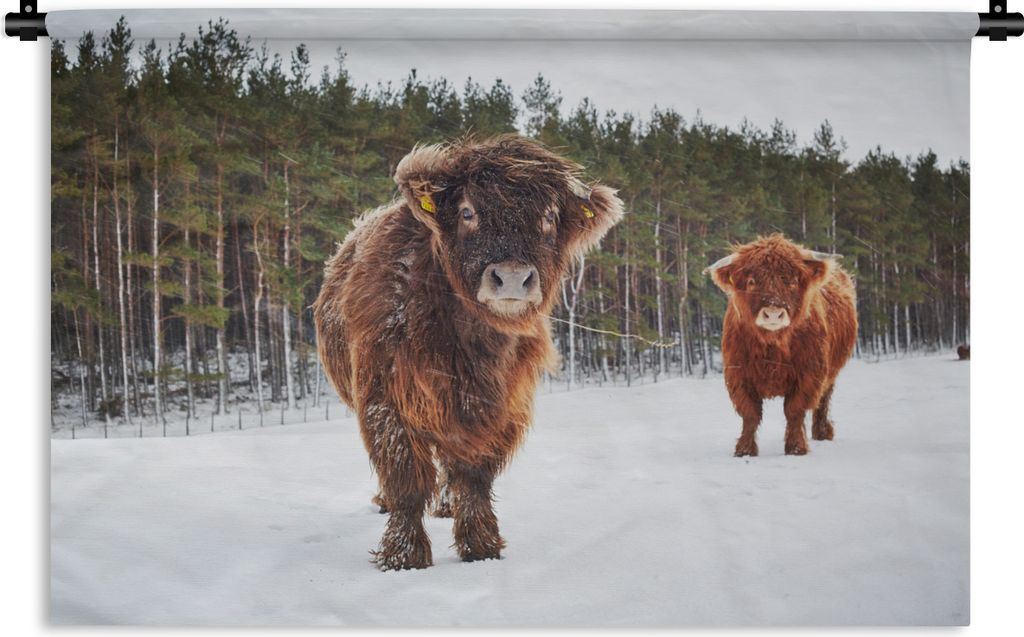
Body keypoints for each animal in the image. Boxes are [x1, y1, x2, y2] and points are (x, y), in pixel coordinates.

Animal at [313, 135, 624, 570]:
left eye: (548, 216)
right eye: (467, 211)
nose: (512, 276)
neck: (470, 344)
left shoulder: (496, 407)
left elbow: (475, 477)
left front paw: (481, 545)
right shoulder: (384, 399)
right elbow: (405, 476)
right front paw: (404, 554)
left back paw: (446, 506)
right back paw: (387, 502)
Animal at [705, 234, 857, 457]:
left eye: (792, 282)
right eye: (751, 281)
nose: (773, 313)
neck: (773, 345)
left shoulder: (809, 373)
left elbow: (794, 410)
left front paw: (796, 448)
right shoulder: (738, 374)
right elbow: (750, 413)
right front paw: (744, 450)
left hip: (831, 370)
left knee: (823, 399)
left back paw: (822, 432)